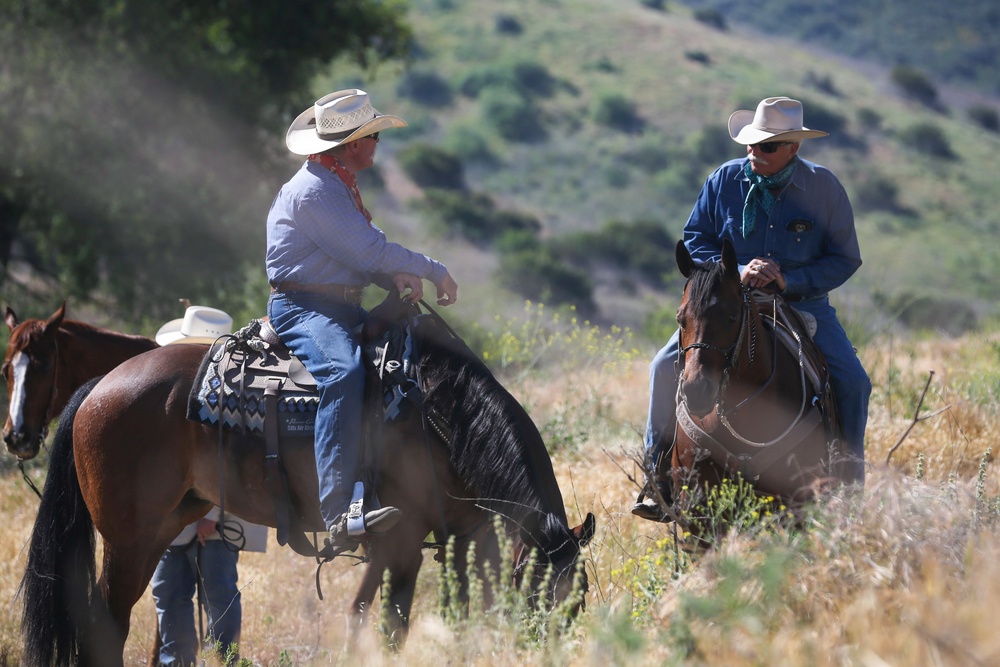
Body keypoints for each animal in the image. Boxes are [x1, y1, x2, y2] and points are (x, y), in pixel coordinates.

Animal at [19, 294, 592, 664]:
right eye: (538, 594)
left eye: (577, 601)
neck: (440, 414)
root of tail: (100, 386)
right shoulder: (405, 538)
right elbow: (392, 624)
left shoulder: (453, 538)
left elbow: (419, 614)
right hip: (128, 540)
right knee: (105, 625)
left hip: (163, 528)